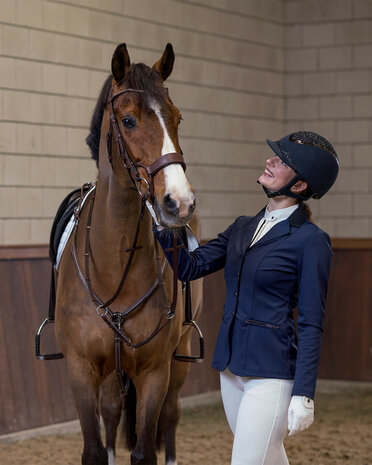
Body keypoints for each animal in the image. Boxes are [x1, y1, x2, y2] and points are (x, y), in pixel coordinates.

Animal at [53, 41, 202, 462]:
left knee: (171, 416)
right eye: (129, 120)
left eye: (177, 118)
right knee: (113, 411)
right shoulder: (81, 370)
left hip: (179, 358)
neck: (114, 262)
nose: (179, 203)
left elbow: (146, 449)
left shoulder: (154, 371)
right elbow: (94, 448)